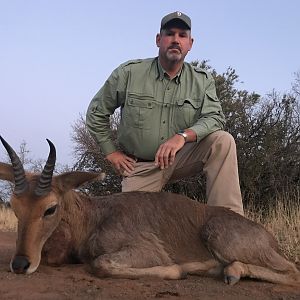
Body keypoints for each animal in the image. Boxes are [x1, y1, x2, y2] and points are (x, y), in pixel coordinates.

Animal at [0, 135, 298, 288]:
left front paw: (179, 270)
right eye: (15, 206)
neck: (94, 217)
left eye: (50, 208)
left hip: (220, 237)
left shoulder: (145, 251)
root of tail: (269, 238)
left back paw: (228, 270)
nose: (20, 264)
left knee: (292, 272)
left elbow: (100, 264)